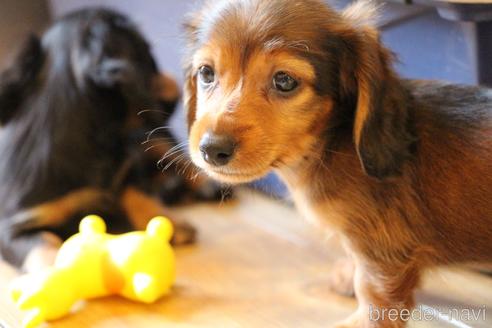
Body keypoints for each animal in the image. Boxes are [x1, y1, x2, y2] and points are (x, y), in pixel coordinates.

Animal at [0, 9, 224, 270]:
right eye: (147, 53)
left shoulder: (128, 159)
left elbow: (134, 189)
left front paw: (170, 222)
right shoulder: (13, 223)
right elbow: (42, 244)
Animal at [184, 0, 492, 326]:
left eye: (284, 81)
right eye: (206, 73)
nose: (212, 149)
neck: (332, 143)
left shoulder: (383, 251)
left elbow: (374, 294)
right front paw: (346, 275)